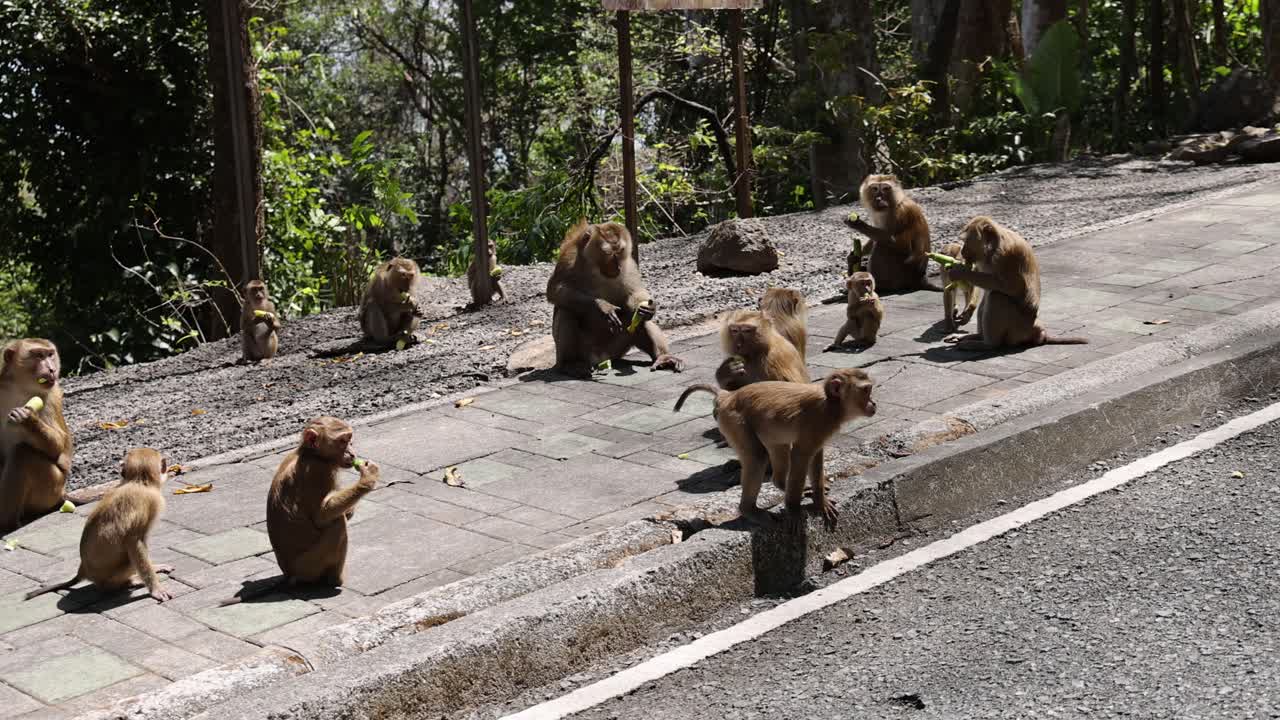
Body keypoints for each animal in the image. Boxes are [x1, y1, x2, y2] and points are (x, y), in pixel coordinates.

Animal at [0, 339, 73, 532]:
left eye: (50, 355)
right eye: (39, 356)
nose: (52, 369)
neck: (20, 387)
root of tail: (62, 493)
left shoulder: (51, 395)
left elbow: (58, 446)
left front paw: (27, 418)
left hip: (50, 488)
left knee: (22, 454)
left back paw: (7, 523)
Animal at [24, 448, 173, 602]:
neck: (138, 482)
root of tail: (83, 569)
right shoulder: (150, 502)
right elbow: (134, 543)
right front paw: (155, 589)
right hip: (112, 574)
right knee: (128, 562)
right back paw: (126, 582)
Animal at [546, 219, 683, 379]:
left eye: (620, 252)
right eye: (608, 253)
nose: (616, 267)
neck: (594, 266)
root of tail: (600, 358)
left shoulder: (629, 262)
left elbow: (635, 293)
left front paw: (648, 308)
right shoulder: (569, 257)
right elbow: (556, 291)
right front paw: (603, 307)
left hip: (616, 350)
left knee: (636, 317)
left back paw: (662, 357)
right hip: (584, 352)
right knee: (566, 311)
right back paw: (570, 364)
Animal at [674, 368, 877, 532]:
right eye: (866, 390)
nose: (873, 404)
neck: (832, 405)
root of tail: (728, 396)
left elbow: (815, 454)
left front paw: (819, 501)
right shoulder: (819, 420)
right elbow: (801, 454)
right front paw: (794, 510)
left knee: (779, 447)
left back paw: (781, 484)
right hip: (733, 421)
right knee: (757, 456)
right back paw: (749, 510)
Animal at [944, 217, 1089, 351]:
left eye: (966, 241)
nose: (962, 251)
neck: (993, 246)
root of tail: (1035, 332)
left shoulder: (1006, 254)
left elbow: (1011, 287)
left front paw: (959, 271)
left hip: (1018, 329)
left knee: (997, 297)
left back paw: (988, 344)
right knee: (988, 298)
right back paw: (977, 336)